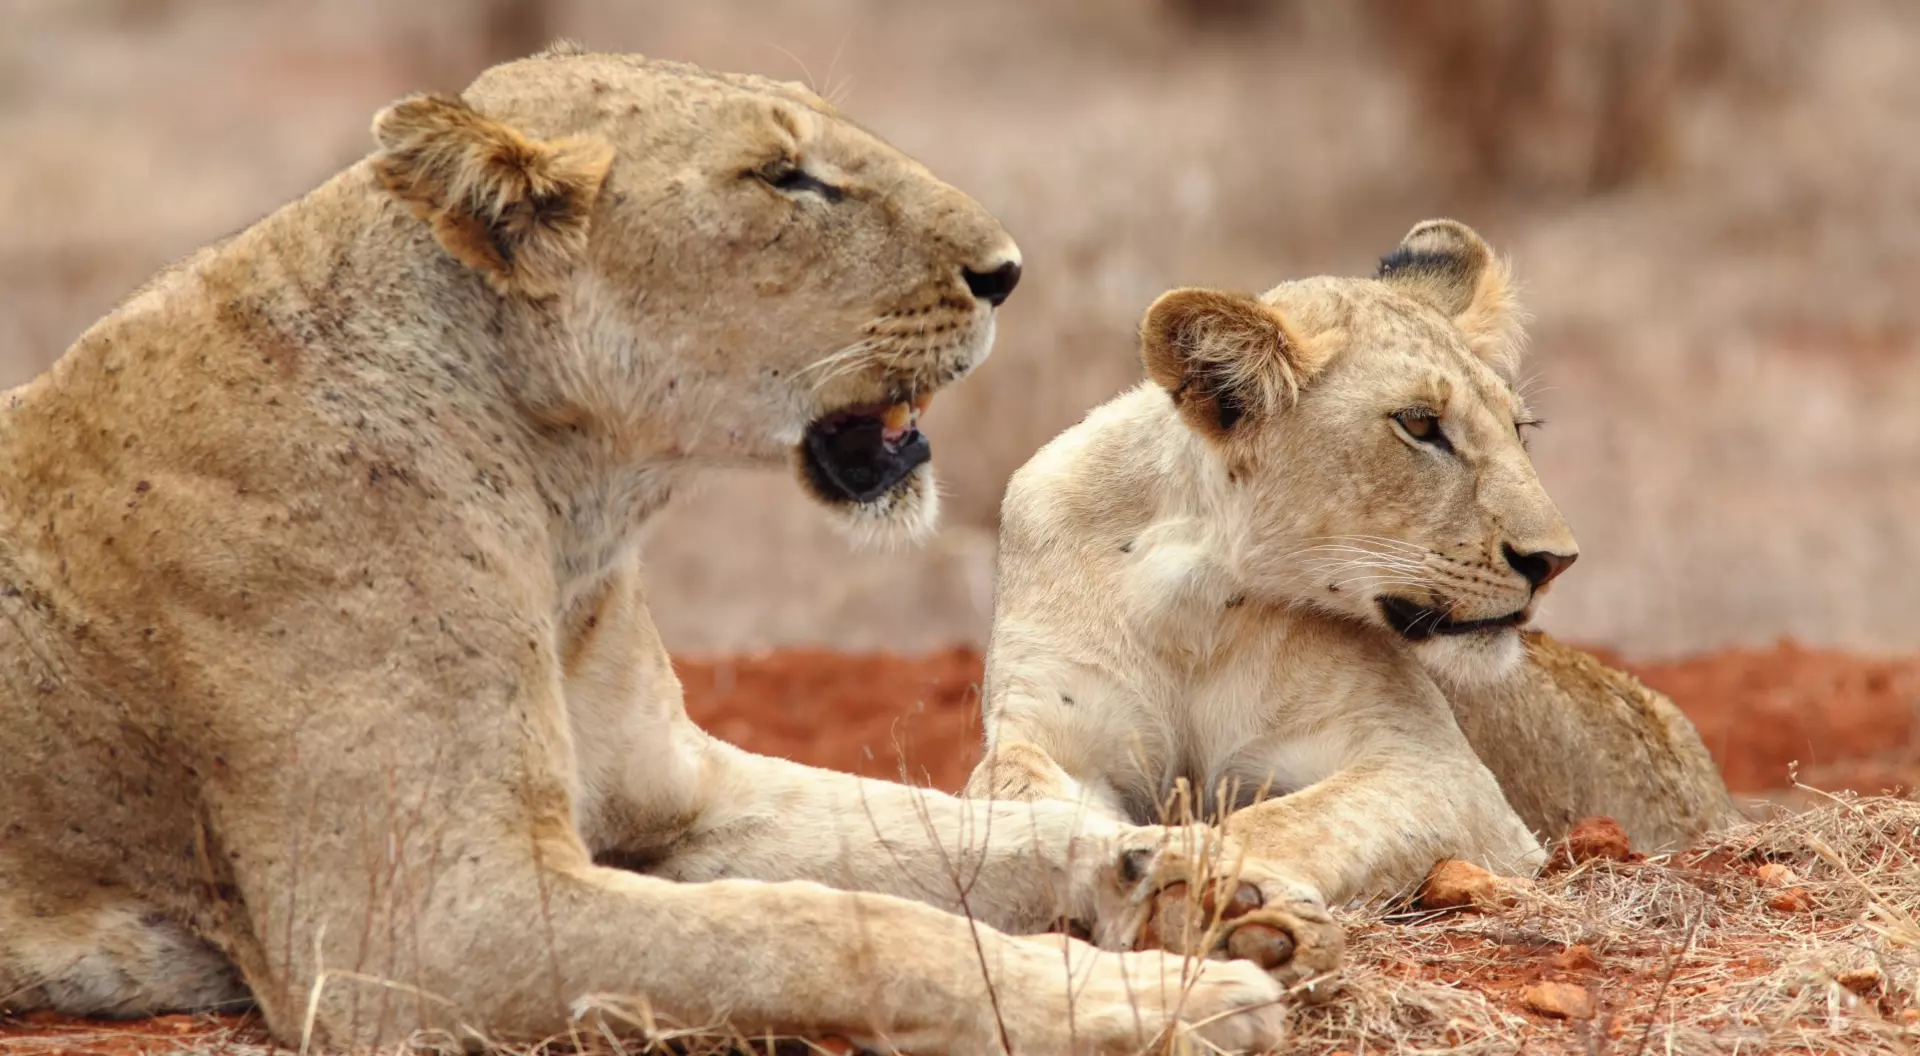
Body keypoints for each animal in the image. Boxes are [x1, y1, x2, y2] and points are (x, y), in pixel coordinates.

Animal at [0, 46, 1340, 1055]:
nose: (1007, 272)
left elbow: (959, 835)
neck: (574, 517)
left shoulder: (687, 793)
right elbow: (825, 925)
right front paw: (1150, 1000)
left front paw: (1201, 882)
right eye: (785, 178)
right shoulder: (424, 927)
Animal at [966, 219, 1741, 908]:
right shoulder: (1051, 730)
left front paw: (1187, 873)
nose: (1554, 561)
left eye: (1519, 430)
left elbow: (1283, 820)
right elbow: (1009, 791)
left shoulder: (1439, 772)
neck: (1190, 598)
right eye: (1420, 424)